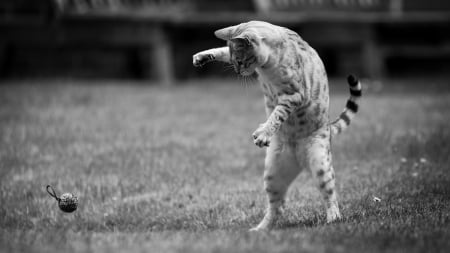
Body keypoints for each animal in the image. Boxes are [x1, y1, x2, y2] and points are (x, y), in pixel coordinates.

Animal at [192, 21, 362, 231]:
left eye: (240, 61)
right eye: (233, 61)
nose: (238, 71)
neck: (266, 65)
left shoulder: (295, 95)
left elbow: (278, 114)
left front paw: (263, 133)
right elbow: (221, 49)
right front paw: (201, 56)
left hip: (320, 163)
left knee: (330, 196)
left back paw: (333, 219)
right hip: (273, 174)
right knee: (278, 207)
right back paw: (260, 229)